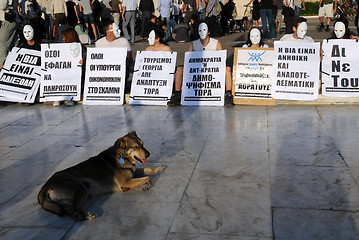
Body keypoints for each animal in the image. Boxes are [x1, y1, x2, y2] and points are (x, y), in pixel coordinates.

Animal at [37, 131, 165, 221]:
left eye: (142, 144)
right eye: (135, 147)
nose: (149, 154)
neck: (122, 156)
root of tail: (45, 187)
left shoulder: (133, 173)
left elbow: (146, 170)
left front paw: (158, 168)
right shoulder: (126, 182)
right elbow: (147, 177)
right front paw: (146, 185)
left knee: (67, 209)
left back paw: (76, 216)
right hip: (81, 187)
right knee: (74, 206)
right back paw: (87, 215)